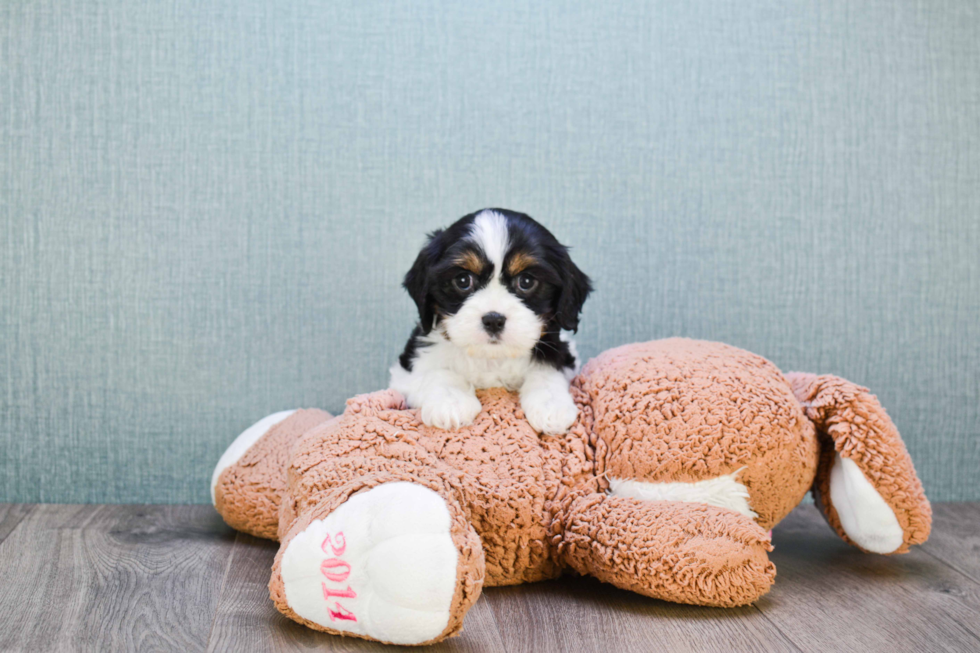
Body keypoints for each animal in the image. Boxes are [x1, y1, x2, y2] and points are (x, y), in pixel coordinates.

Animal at [388, 209, 588, 432]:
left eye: (526, 281)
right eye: (463, 280)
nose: (493, 320)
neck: (490, 358)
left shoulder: (563, 352)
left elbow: (547, 369)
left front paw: (551, 405)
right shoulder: (405, 374)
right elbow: (438, 372)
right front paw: (451, 402)